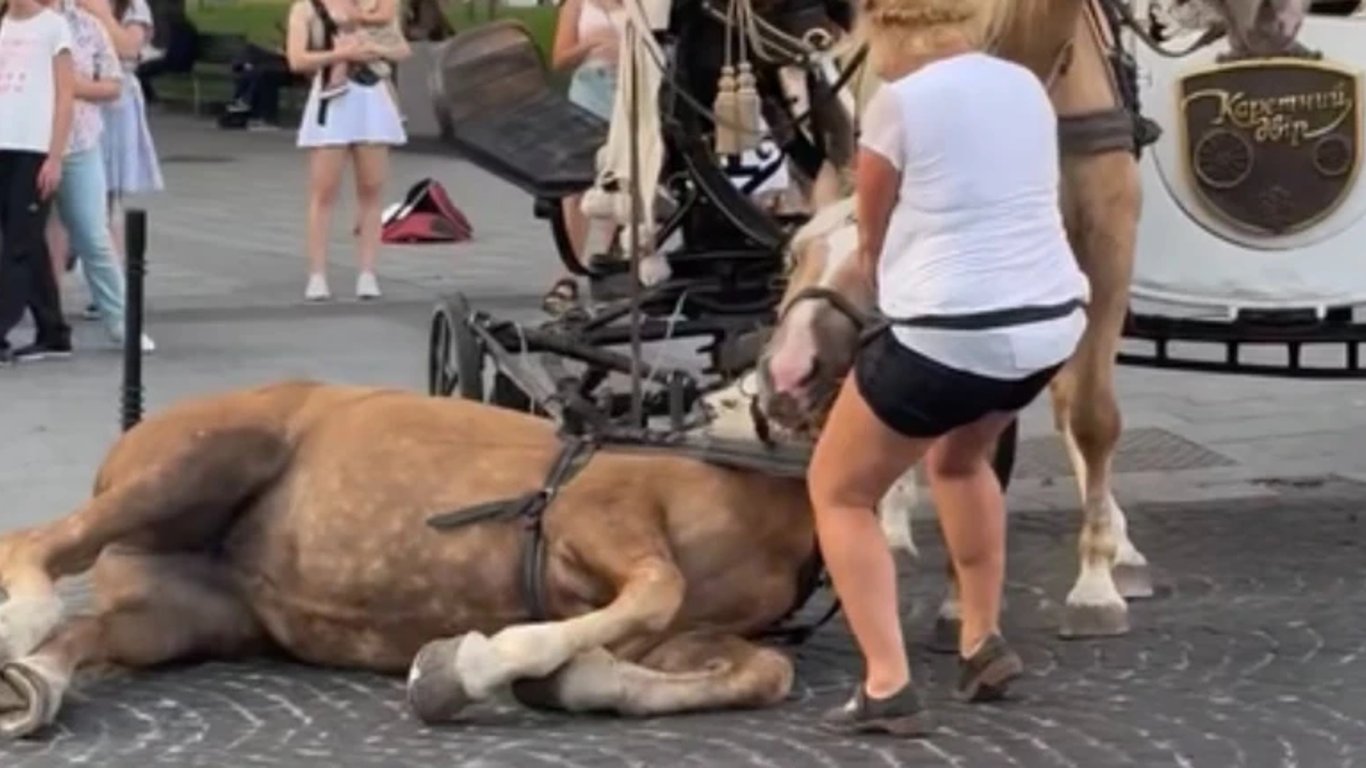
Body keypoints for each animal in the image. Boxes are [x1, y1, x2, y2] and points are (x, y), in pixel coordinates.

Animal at [0, 379, 830, 737]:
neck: (757, 478)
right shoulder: (594, 517)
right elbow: (659, 586)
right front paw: (467, 668)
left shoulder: (690, 636)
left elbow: (765, 670)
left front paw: (572, 679)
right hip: (213, 458)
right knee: (37, 545)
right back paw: (20, 626)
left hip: (179, 615)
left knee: (87, 633)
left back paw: (35, 683)